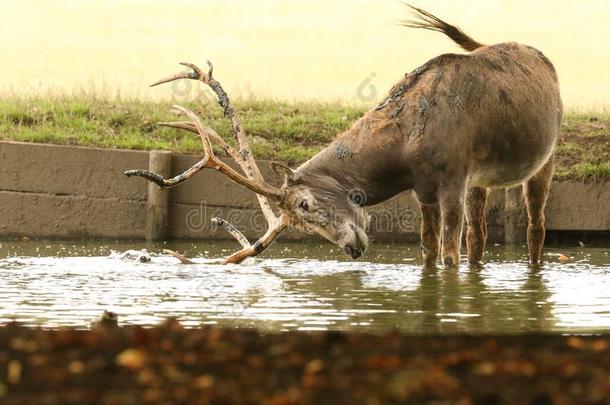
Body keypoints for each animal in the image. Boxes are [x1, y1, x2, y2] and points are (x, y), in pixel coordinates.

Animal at [124, 5, 560, 268]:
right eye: (299, 221)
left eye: (304, 204)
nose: (352, 249)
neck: (405, 150)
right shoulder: (424, 187)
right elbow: (428, 249)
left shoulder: (453, 173)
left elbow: (447, 255)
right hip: (482, 180)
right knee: (478, 236)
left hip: (547, 155)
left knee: (535, 226)